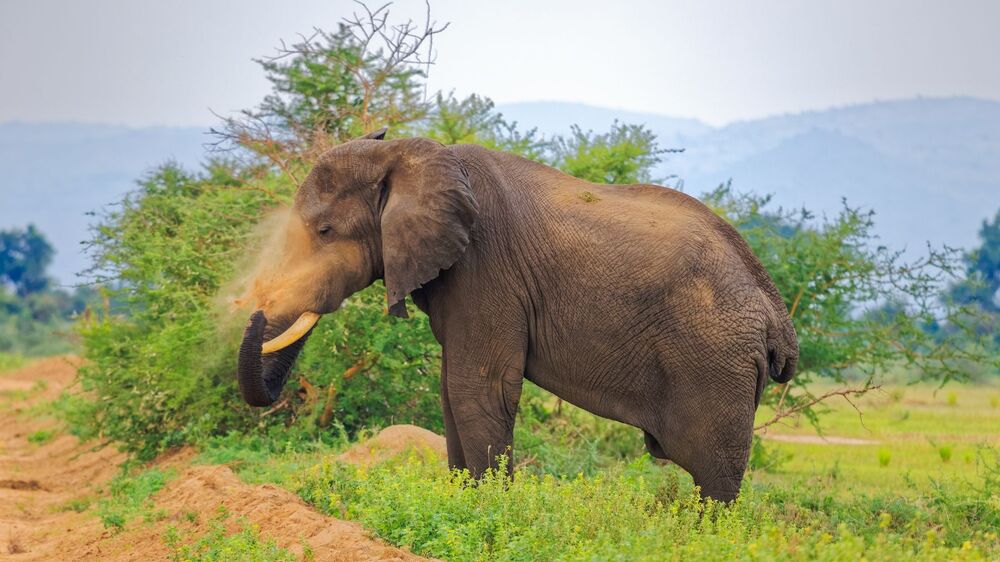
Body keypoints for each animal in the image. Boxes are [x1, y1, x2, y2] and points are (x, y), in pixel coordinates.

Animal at [236, 127, 798, 502]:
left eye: (324, 231)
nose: (254, 310)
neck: (412, 155)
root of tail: (775, 309)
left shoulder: (486, 269)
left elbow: (477, 387)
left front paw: (491, 511)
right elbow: (451, 391)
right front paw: (466, 503)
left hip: (714, 361)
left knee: (713, 473)